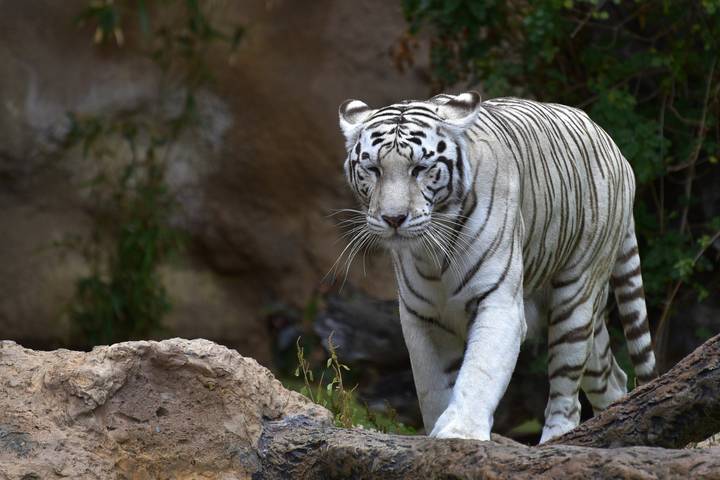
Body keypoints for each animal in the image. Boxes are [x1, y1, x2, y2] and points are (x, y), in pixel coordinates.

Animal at [336, 91, 658, 443]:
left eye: (420, 168)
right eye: (373, 169)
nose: (393, 219)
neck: (433, 256)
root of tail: (614, 148)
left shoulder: (500, 302)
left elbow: (479, 371)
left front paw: (459, 432)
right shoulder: (421, 316)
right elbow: (432, 386)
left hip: (576, 296)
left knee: (566, 391)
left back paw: (556, 438)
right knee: (612, 377)